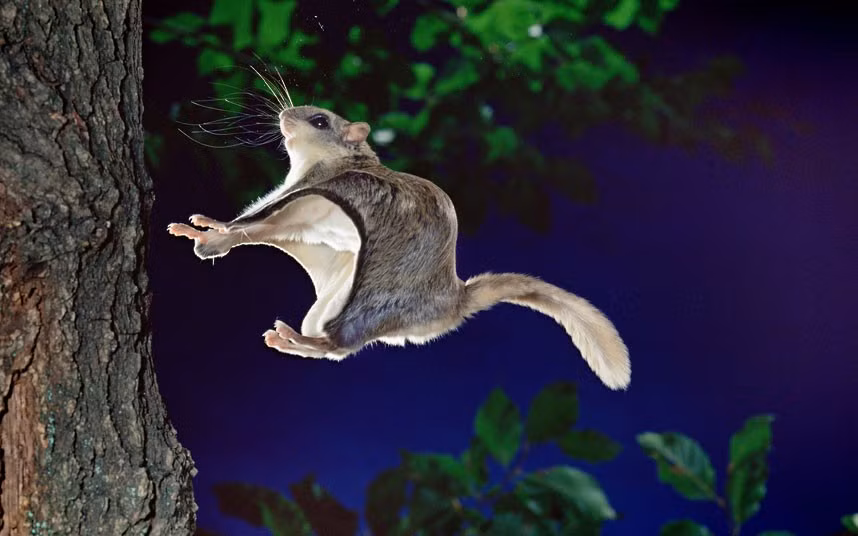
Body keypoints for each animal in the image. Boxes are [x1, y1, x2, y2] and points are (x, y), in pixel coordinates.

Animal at [168, 105, 631, 390]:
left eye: (319, 120)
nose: (284, 113)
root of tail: (452, 297)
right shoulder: (299, 212)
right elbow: (261, 225)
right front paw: (205, 234)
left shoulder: (311, 189)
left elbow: (253, 219)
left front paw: (212, 231)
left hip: (365, 308)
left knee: (337, 348)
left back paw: (291, 339)